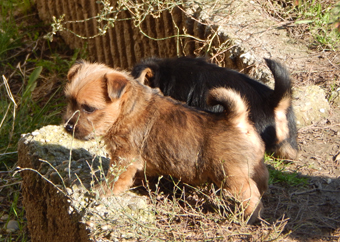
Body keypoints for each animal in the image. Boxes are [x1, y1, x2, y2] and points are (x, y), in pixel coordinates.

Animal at [63, 60, 268, 223]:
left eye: (88, 108)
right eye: (69, 101)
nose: (67, 126)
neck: (126, 109)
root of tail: (236, 120)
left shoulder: (124, 158)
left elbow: (116, 177)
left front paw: (104, 190)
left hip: (230, 175)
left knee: (250, 195)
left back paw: (249, 218)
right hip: (254, 166)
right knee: (261, 183)